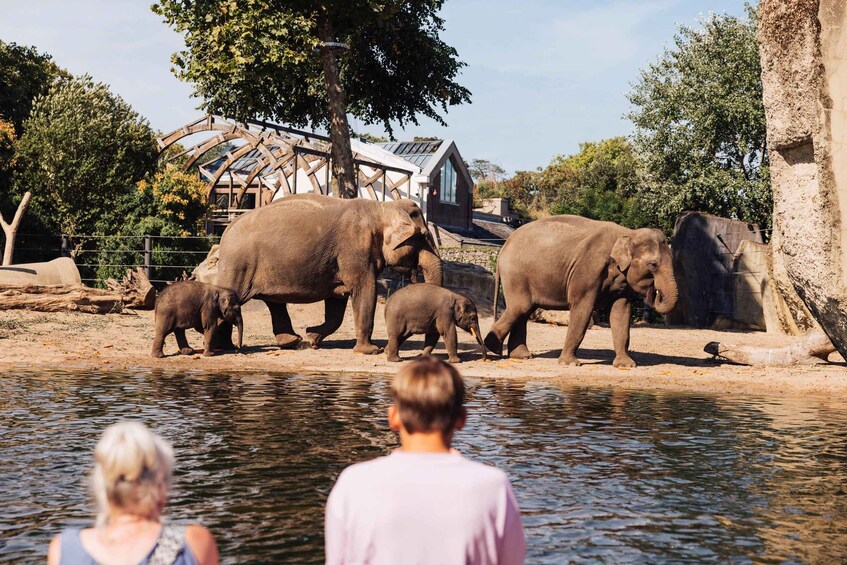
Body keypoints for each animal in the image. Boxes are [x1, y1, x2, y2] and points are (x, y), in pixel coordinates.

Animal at [215, 194, 442, 354]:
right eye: (423, 236)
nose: (384, 348)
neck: (382, 207)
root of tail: (226, 230)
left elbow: (337, 304)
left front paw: (312, 337)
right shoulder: (355, 251)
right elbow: (364, 290)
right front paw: (370, 351)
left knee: (274, 303)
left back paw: (293, 342)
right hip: (238, 265)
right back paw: (225, 348)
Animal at [484, 215, 678, 367]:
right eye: (653, 265)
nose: (655, 292)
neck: (628, 233)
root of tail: (504, 247)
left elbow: (621, 312)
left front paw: (626, 365)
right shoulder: (588, 268)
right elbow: (583, 308)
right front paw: (570, 363)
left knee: (524, 310)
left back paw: (522, 356)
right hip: (516, 274)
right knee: (520, 307)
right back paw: (493, 348)